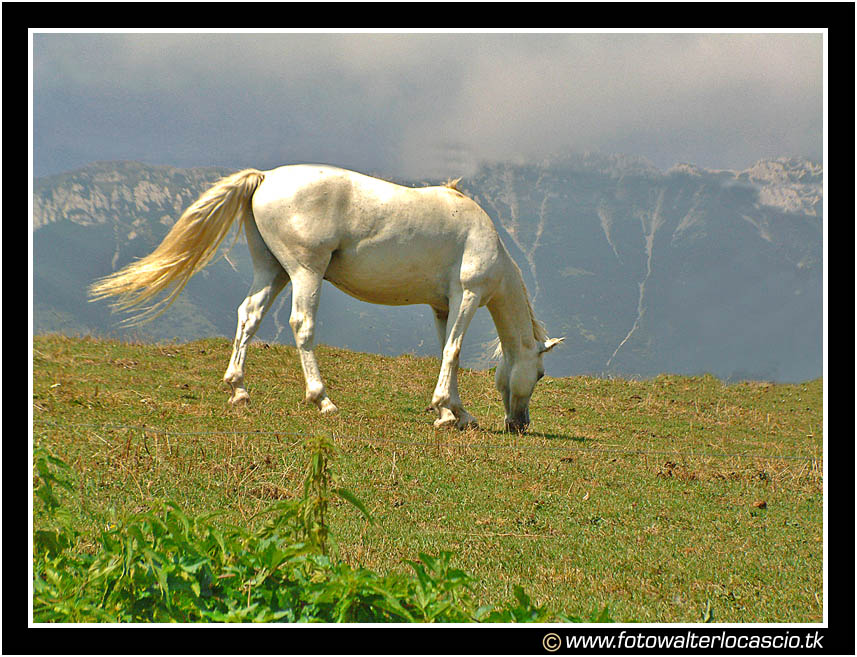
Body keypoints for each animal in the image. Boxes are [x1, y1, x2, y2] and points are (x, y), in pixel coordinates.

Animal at [89, 165, 563, 432]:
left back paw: (238, 390)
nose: (519, 425)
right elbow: (454, 352)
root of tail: (266, 178)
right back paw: (322, 400)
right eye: (540, 375)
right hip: (304, 272)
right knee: (302, 326)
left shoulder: (443, 305)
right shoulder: (467, 296)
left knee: (249, 316)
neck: (485, 239)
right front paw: (450, 411)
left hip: (273, 272)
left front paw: (452, 413)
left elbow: (446, 350)